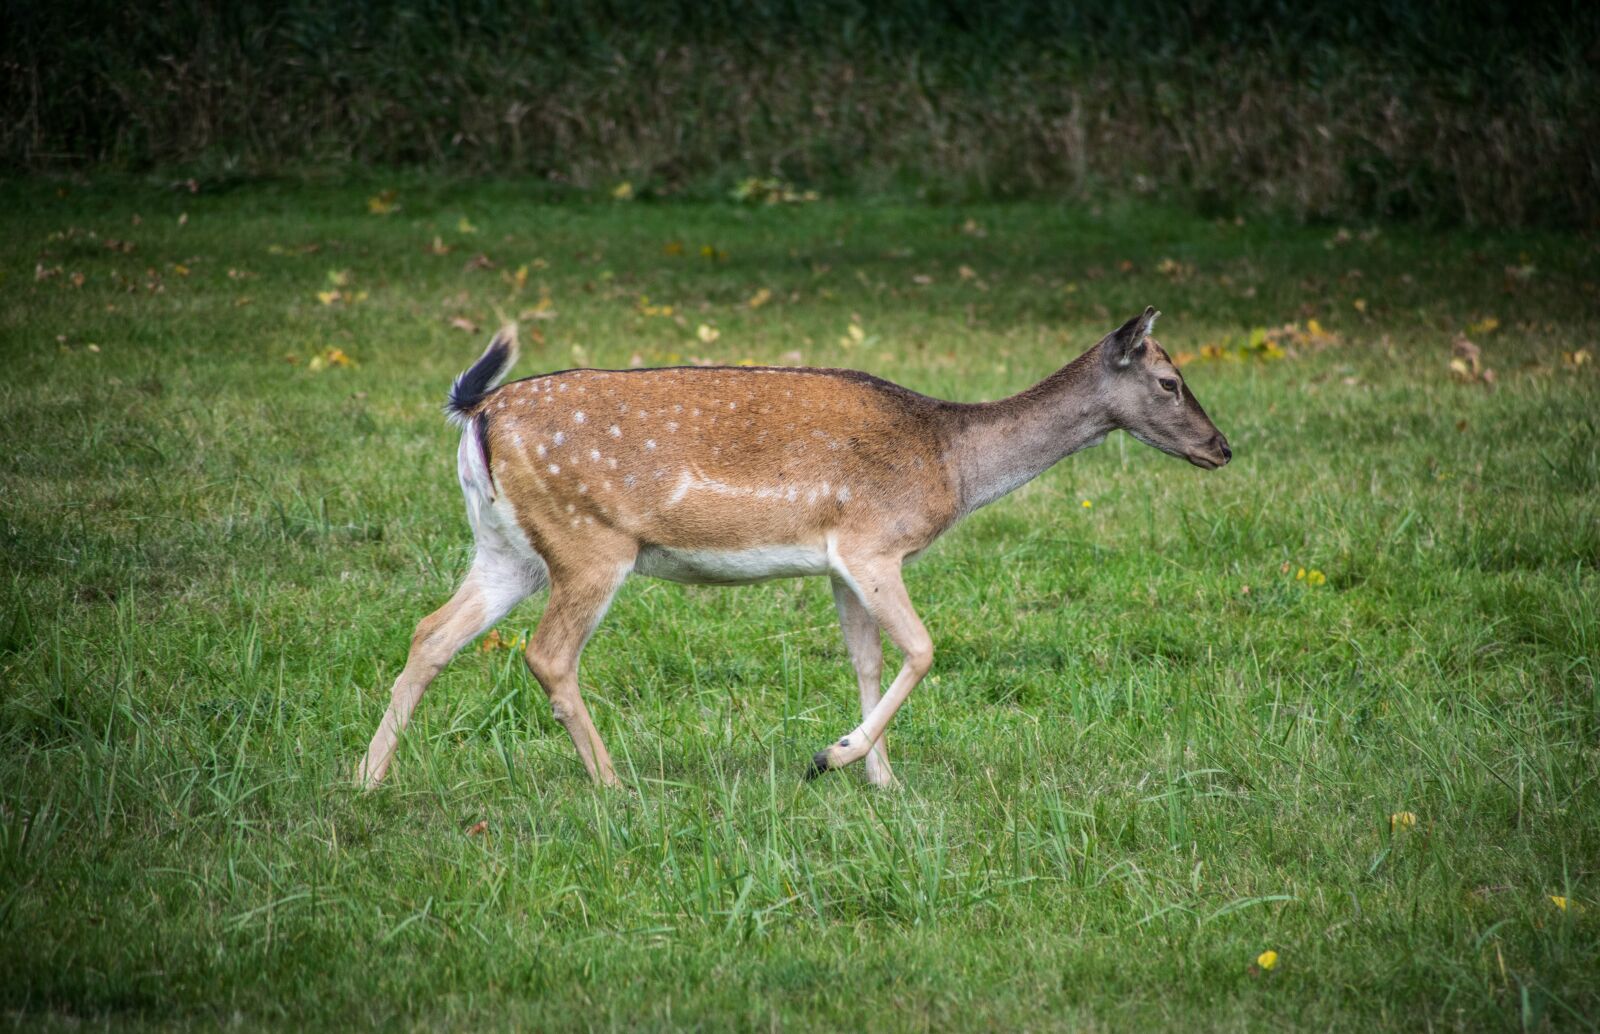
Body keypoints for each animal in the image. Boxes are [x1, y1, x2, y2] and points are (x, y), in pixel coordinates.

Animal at [357, 306, 1231, 790]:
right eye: (1169, 382)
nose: (1222, 447)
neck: (950, 460)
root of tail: (478, 414)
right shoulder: (875, 543)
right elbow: (923, 648)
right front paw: (832, 756)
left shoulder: (843, 562)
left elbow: (868, 660)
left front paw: (883, 781)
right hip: (588, 542)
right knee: (546, 655)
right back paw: (613, 783)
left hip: (507, 548)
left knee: (432, 632)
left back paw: (366, 777)